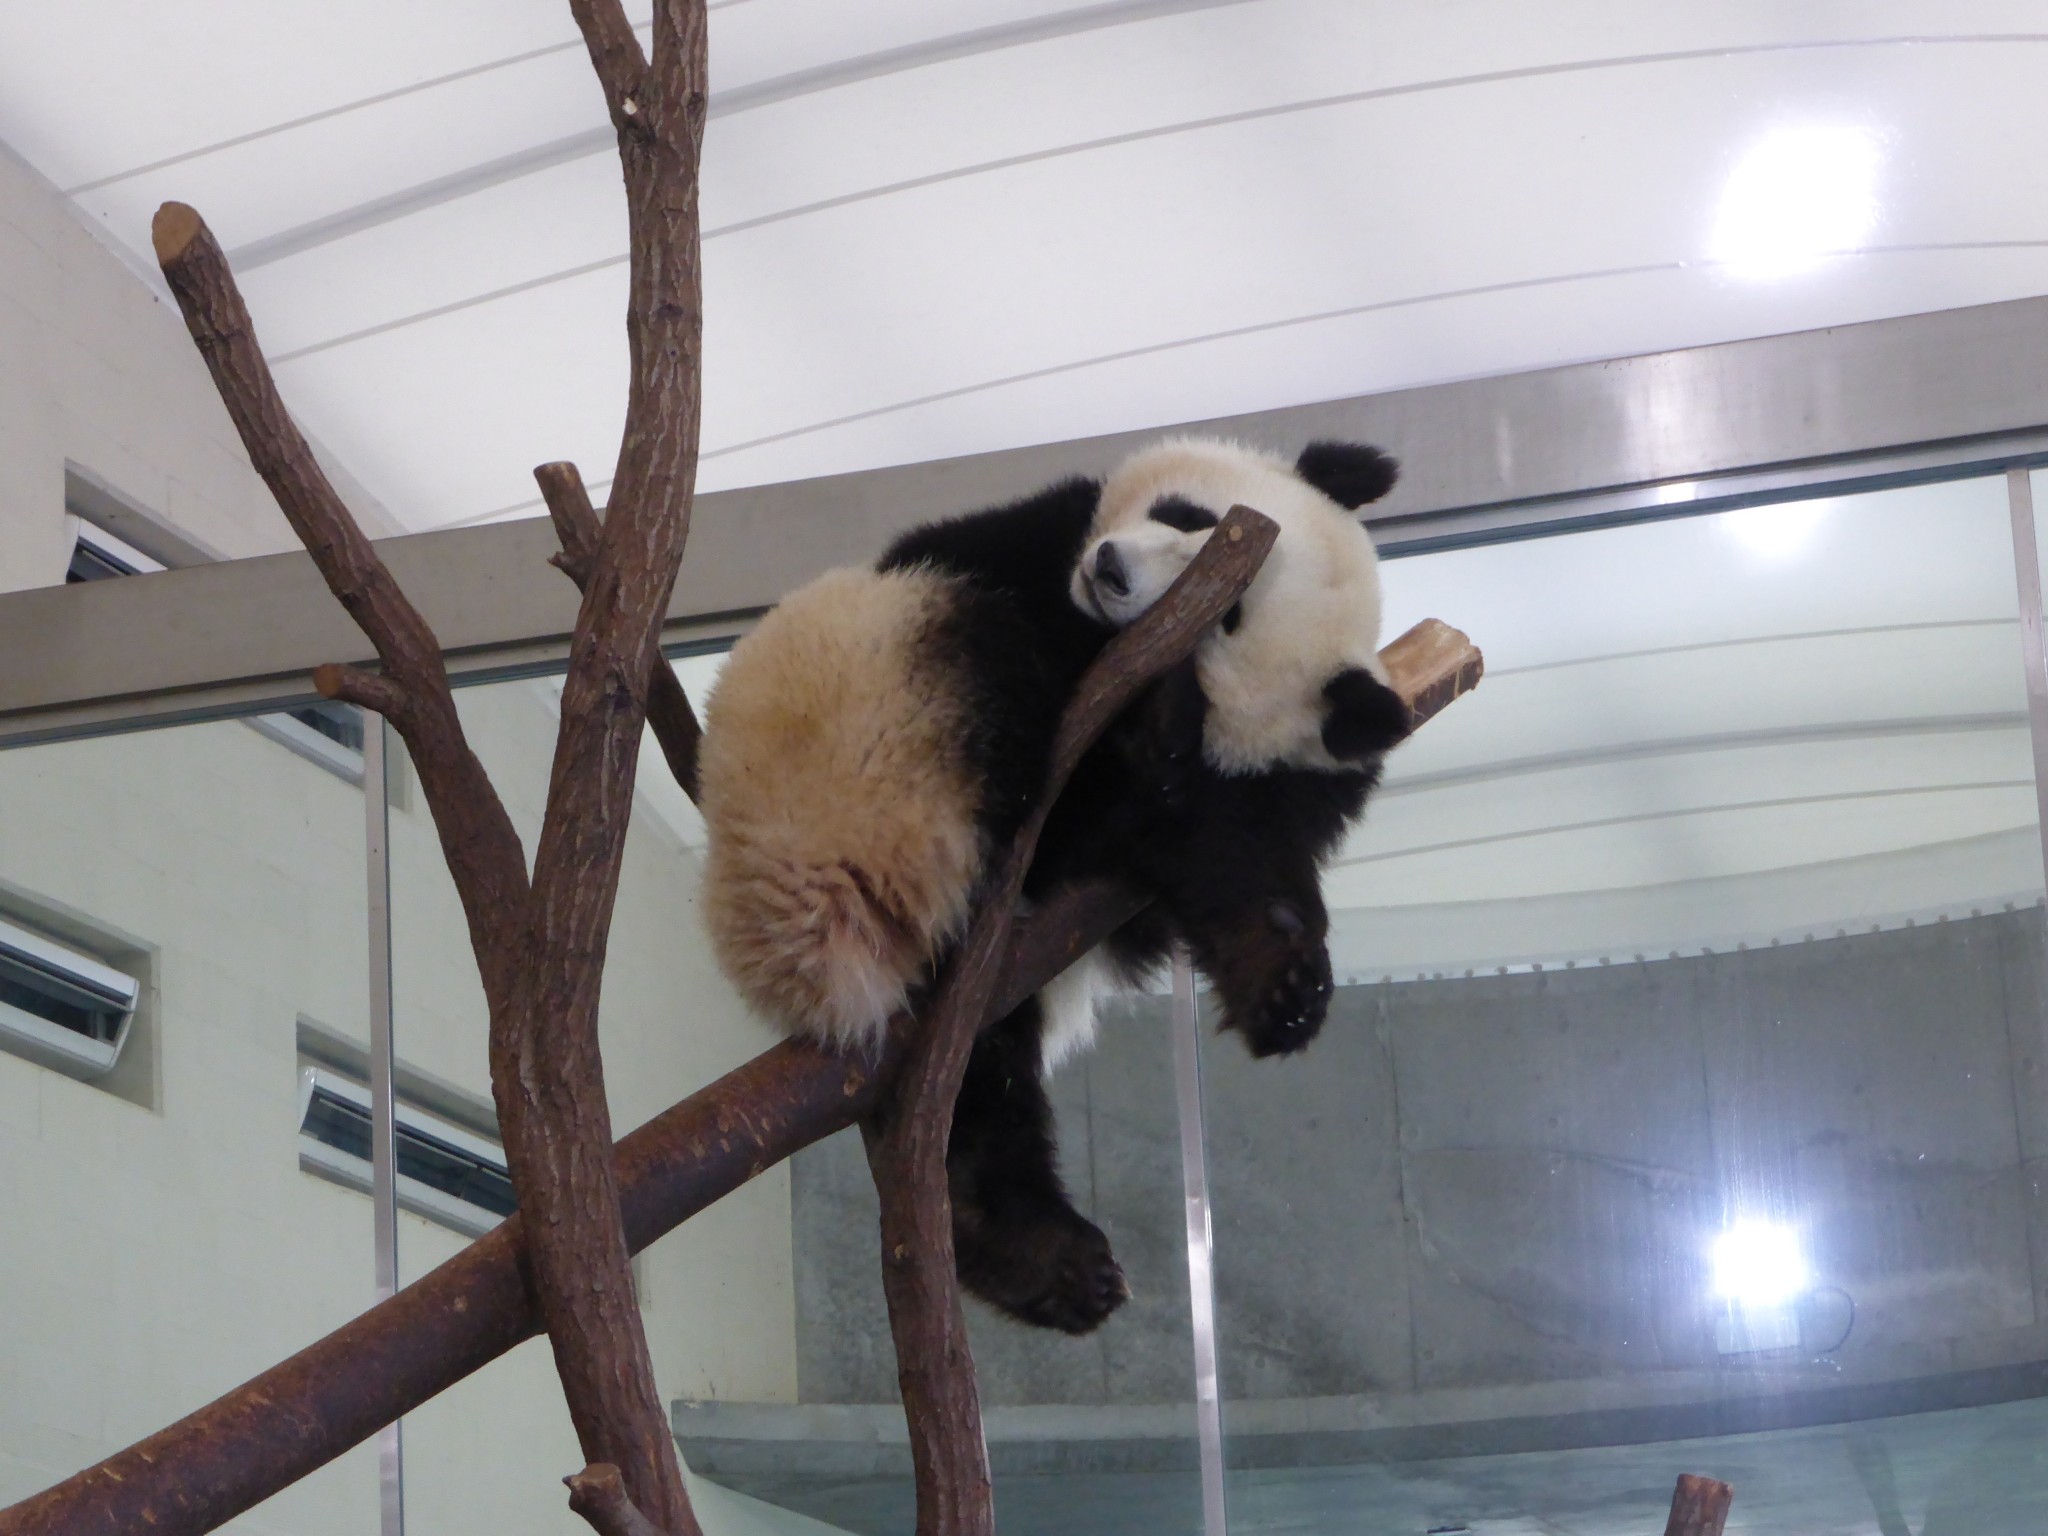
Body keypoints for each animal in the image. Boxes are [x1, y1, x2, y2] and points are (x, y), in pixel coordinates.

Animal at [698, 437, 1411, 1333]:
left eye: (1229, 618)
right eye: (1189, 516)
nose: (1110, 569)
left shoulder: (1256, 782)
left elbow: (1226, 849)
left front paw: (1284, 977)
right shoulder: (1026, 541)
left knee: (978, 1090)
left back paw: (1036, 1253)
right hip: (873, 726)